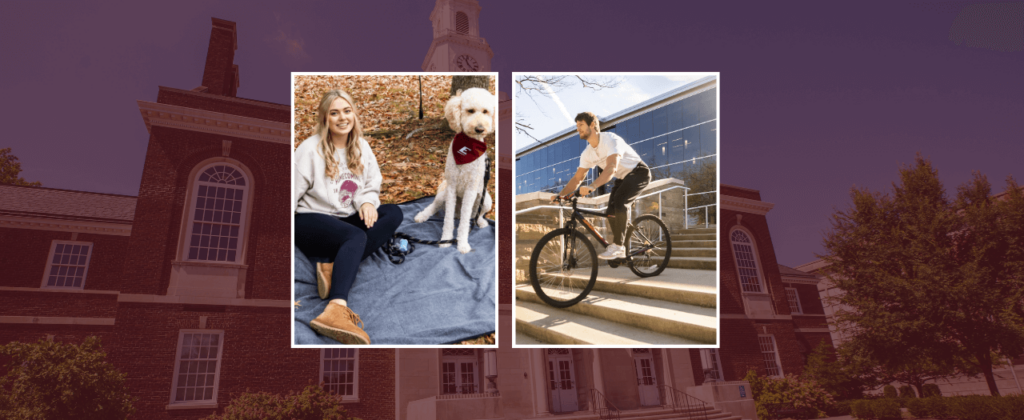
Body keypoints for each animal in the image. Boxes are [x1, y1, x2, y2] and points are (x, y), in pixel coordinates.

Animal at [415, 87, 495, 254]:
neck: (469, 146)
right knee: (434, 206)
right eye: (470, 111)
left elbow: (465, 222)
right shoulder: (451, 187)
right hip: (443, 195)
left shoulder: (471, 190)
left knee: (476, 215)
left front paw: (462, 243)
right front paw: (446, 239)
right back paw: (422, 215)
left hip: (485, 200)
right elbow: (448, 220)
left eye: (485, 111)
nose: (480, 129)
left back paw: (480, 222)